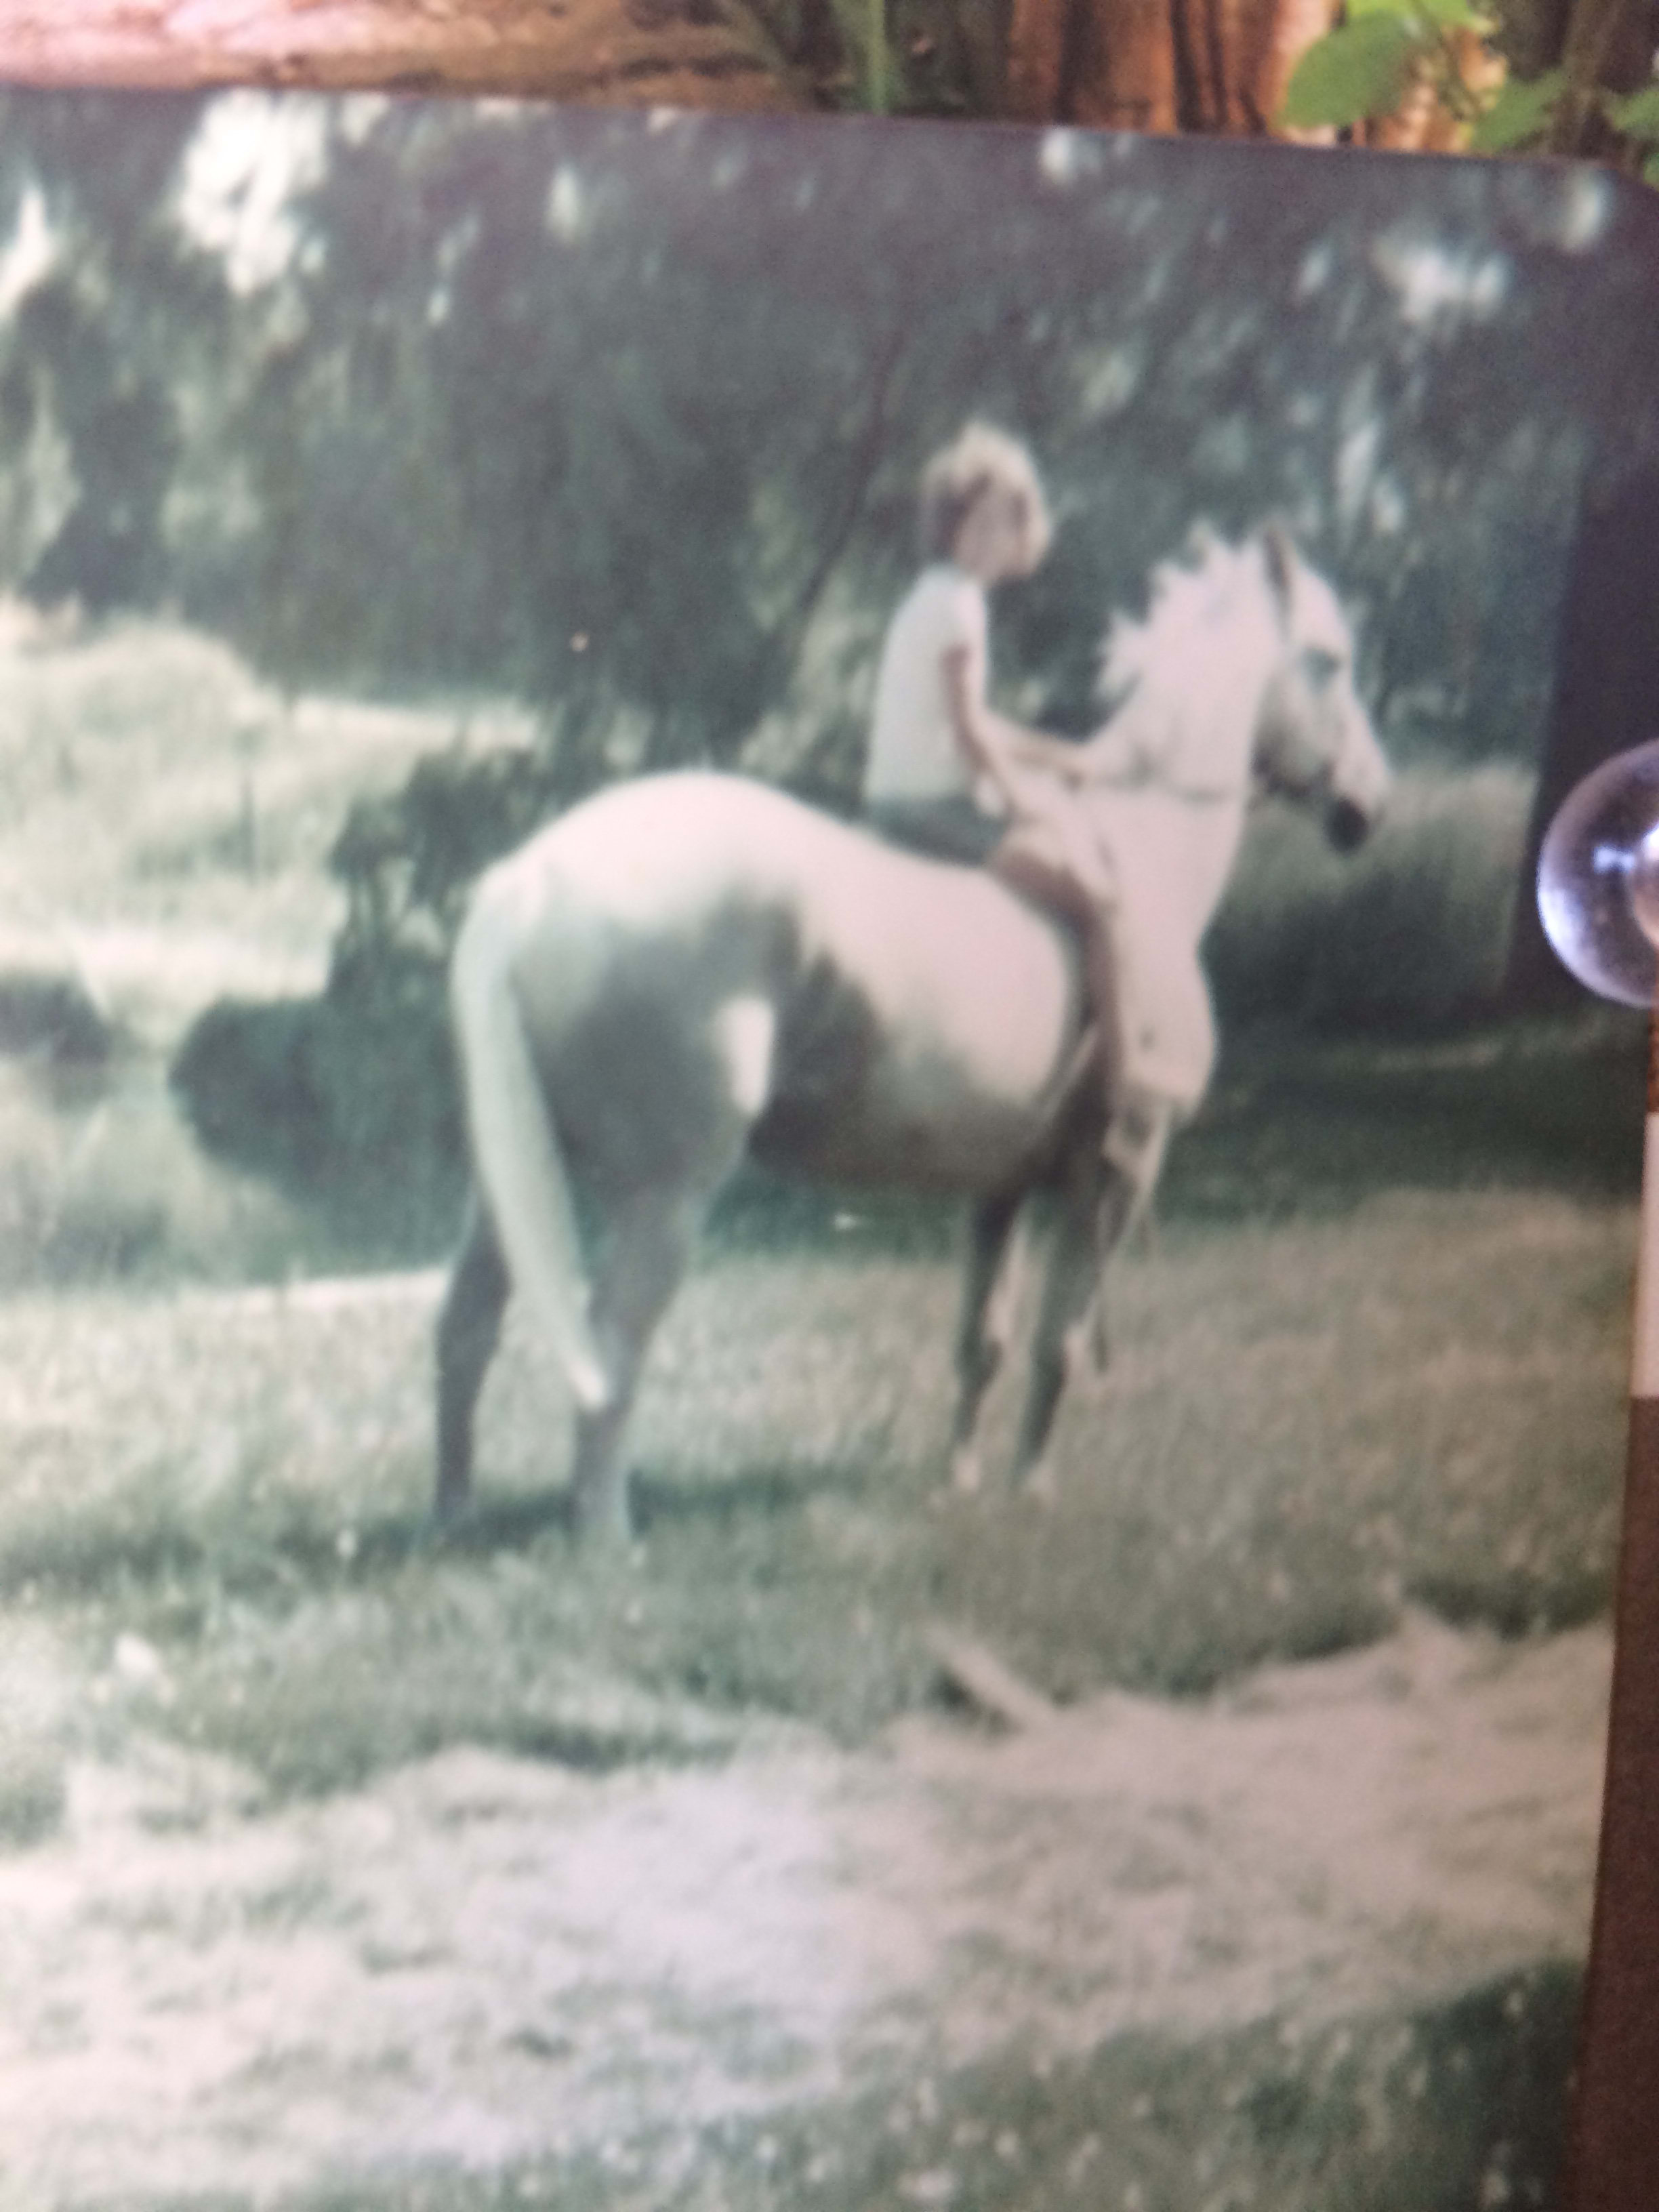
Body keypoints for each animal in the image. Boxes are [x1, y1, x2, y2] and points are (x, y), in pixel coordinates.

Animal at [431, 533, 1389, 1539]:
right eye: (1331, 661)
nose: (1369, 803)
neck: (1143, 865)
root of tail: (530, 882)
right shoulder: (1114, 1181)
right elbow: (1060, 1343)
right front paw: (1032, 1490)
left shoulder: (1001, 1190)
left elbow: (985, 1342)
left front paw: (960, 1483)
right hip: (663, 1197)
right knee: (609, 1349)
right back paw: (607, 1539)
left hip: (514, 1179)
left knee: (467, 1325)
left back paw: (453, 1514)